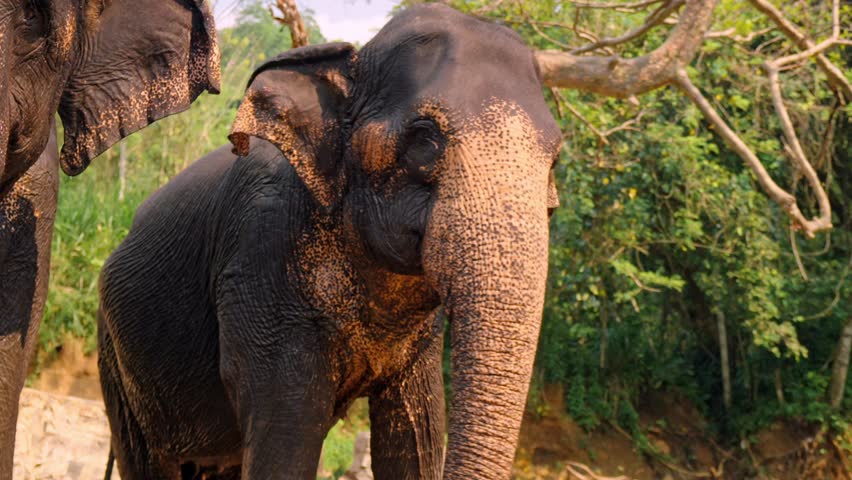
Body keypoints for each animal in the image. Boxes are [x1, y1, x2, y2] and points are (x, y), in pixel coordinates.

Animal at [97, 4, 561, 479]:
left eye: (555, 159)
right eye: (425, 140)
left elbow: (415, 439)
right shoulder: (262, 267)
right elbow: (286, 445)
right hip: (115, 361)